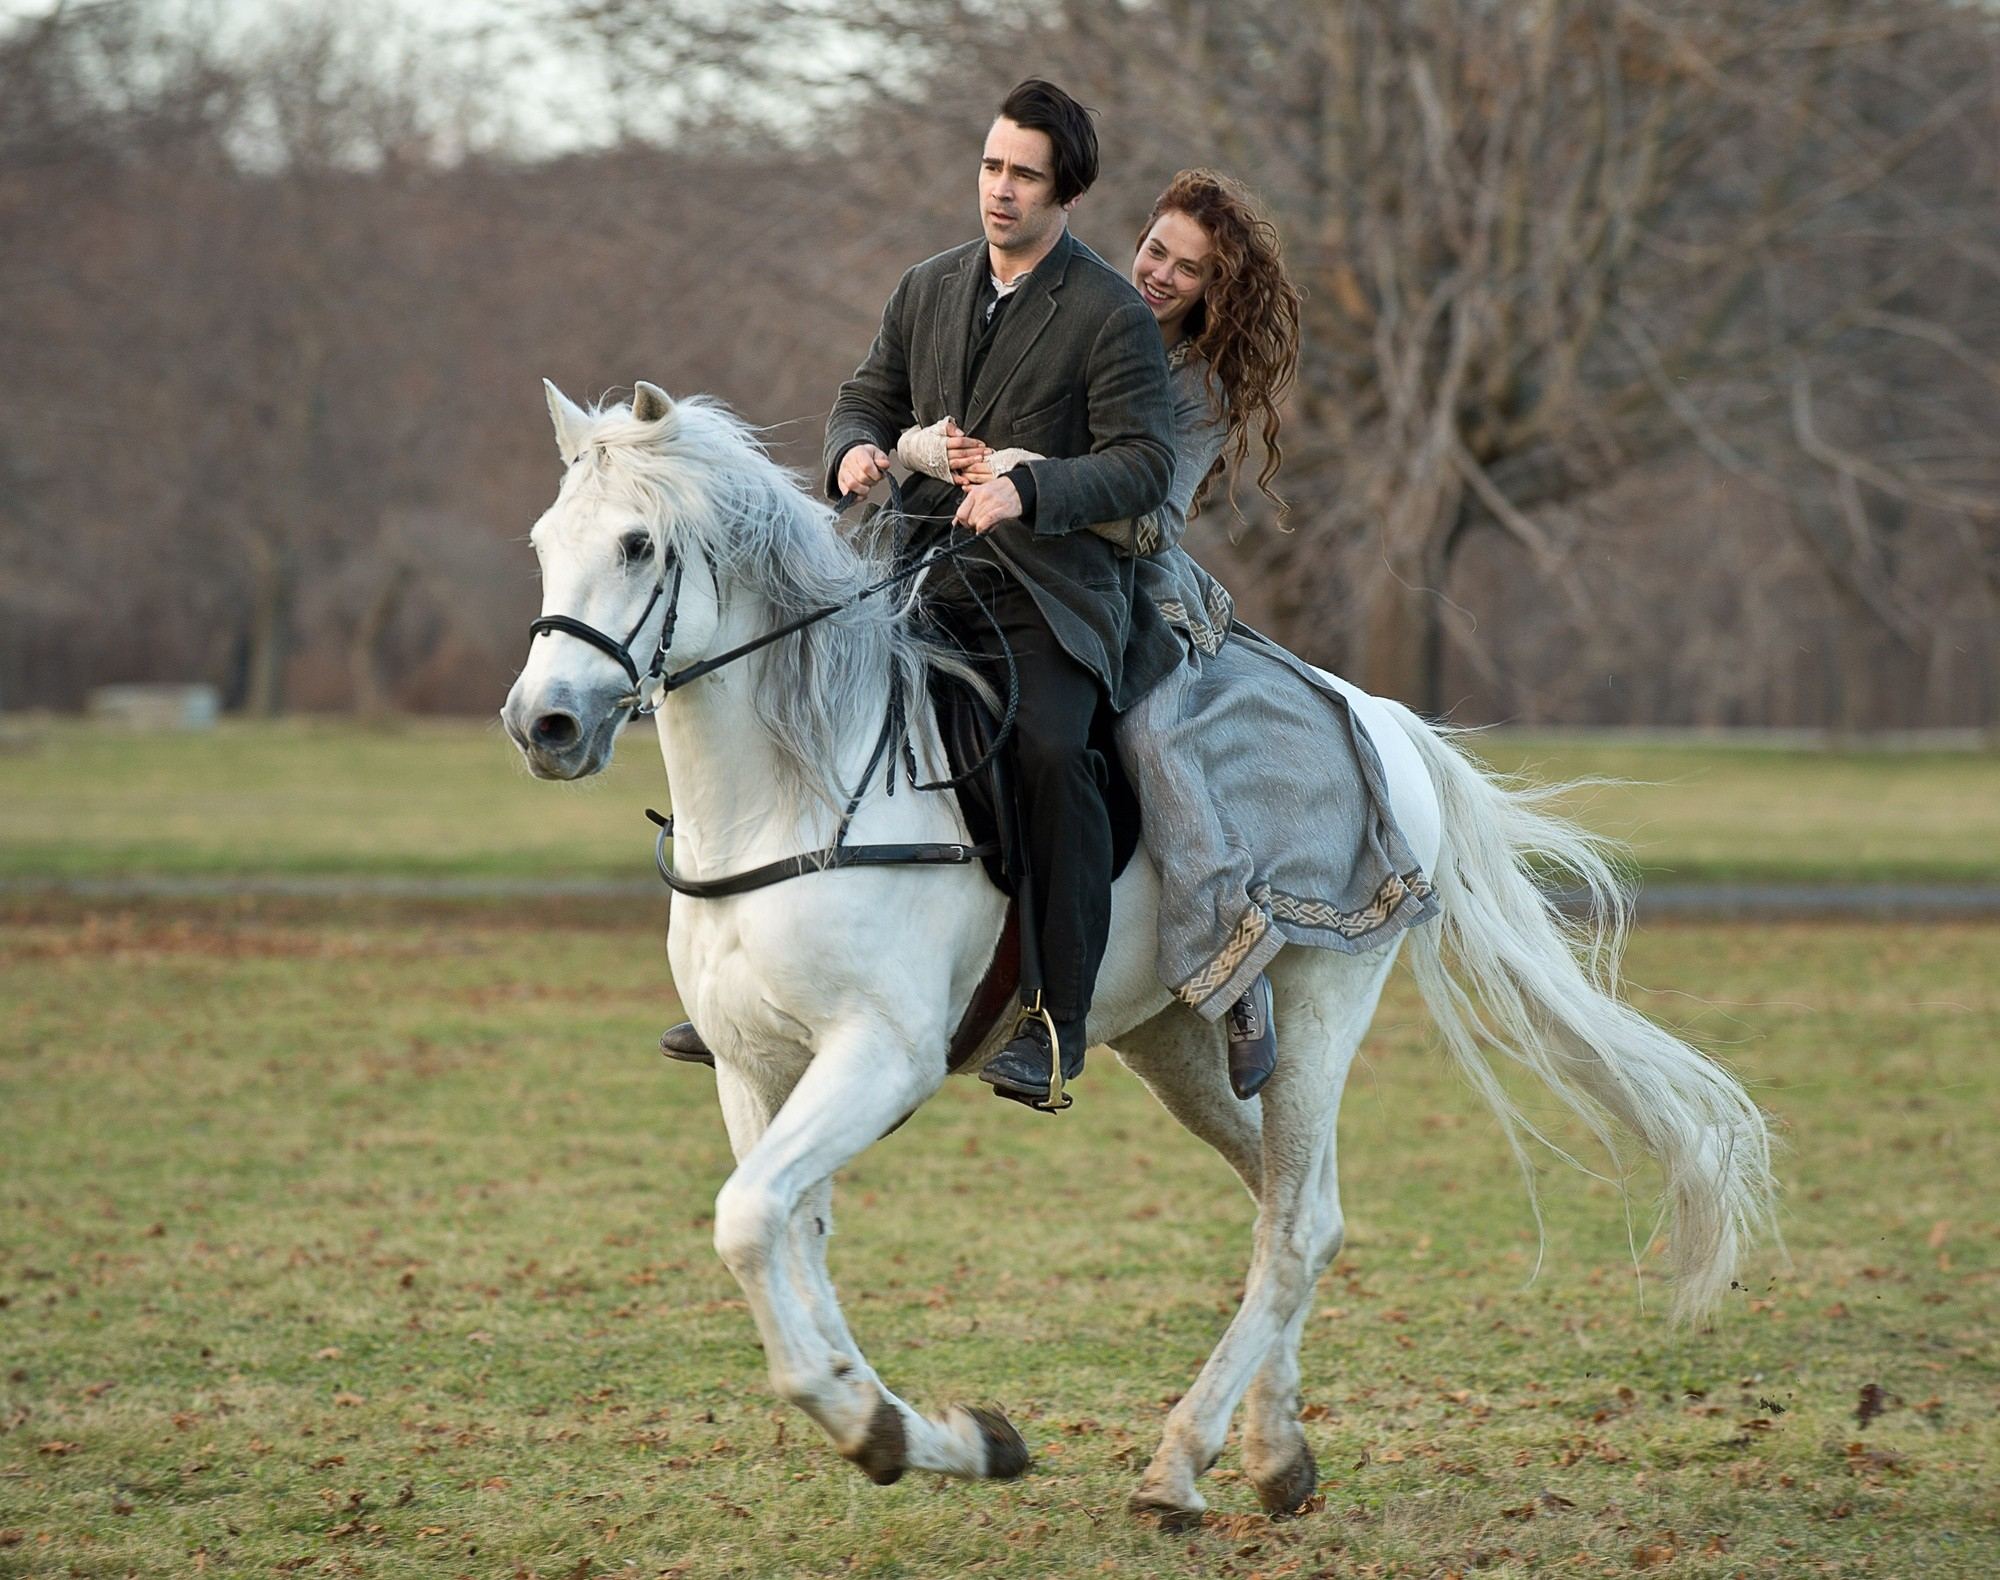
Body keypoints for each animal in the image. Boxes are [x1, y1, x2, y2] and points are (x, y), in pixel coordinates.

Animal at [504, 380, 1784, 1520]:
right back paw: (1272, 1450)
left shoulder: (880, 1056)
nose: (542, 723)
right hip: (1174, 1040)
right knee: (1290, 1197)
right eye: (543, 542)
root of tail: (1372, 715)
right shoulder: (752, 1065)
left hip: (1319, 1001)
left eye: (637, 543)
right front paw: (937, 1434)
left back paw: (1180, 1460)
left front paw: (882, 1428)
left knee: (1296, 1225)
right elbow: (781, 1233)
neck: (796, 790)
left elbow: (749, 1219)